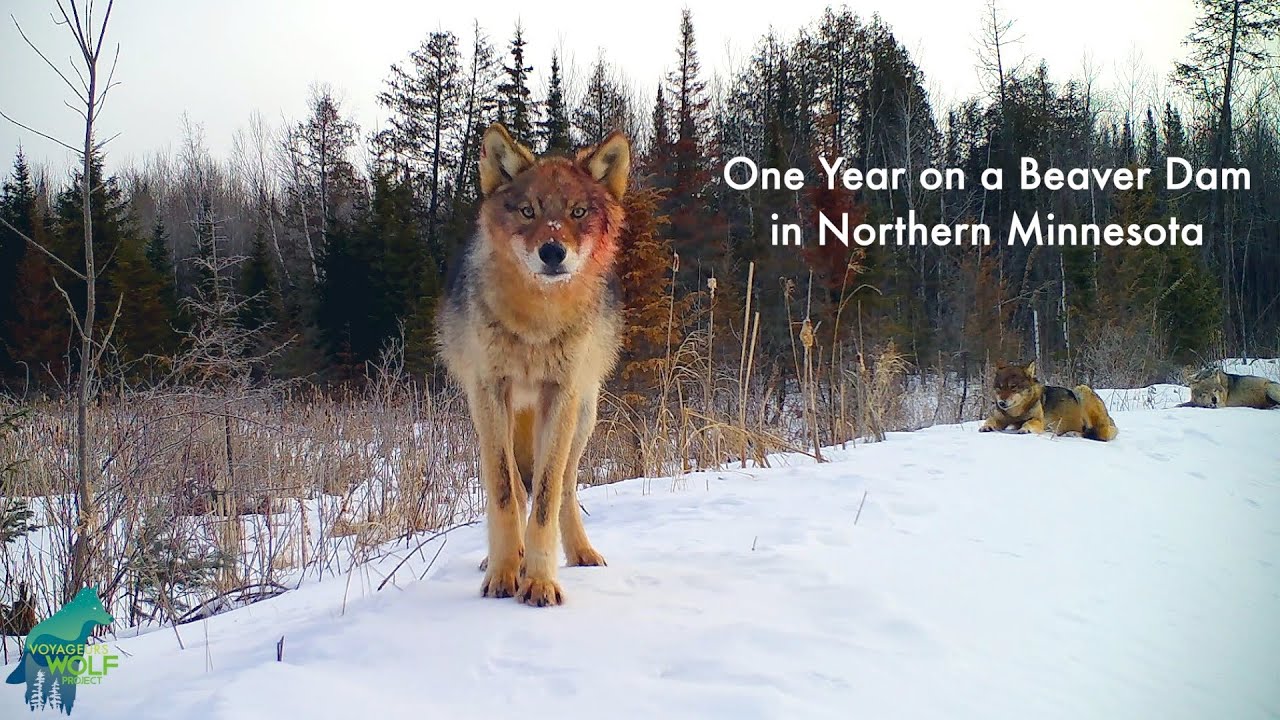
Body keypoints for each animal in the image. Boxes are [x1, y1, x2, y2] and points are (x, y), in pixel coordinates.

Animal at [437, 122, 632, 604]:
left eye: (578, 212)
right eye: (528, 211)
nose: (552, 252)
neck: (535, 325)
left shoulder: (559, 394)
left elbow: (545, 495)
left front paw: (540, 581)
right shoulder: (490, 390)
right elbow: (506, 493)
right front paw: (505, 573)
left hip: (582, 416)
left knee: (564, 486)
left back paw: (580, 553)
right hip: (496, 417)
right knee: (511, 482)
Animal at [983, 356, 1116, 438]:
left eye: (1013, 387)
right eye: (999, 387)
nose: (1001, 403)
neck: (1016, 414)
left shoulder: (1038, 420)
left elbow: (1028, 423)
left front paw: (1024, 429)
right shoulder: (1000, 418)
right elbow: (990, 420)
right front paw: (986, 426)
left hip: (1081, 389)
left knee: (1098, 434)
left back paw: (1072, 434)